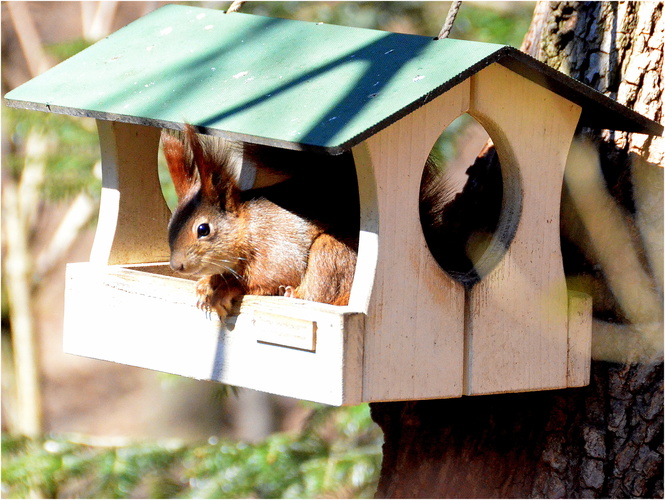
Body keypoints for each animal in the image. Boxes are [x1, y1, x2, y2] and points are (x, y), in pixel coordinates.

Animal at [161, 127, 358, 318]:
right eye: (169, 226)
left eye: (203, 229)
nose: (176, 266)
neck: (247, 229)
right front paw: (207, 283)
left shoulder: (276, 248)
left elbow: (267, 280)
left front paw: (225, 289)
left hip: (330, 252)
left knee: (320, 294)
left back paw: (293, 293)